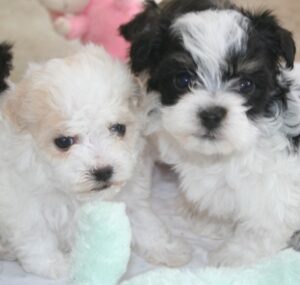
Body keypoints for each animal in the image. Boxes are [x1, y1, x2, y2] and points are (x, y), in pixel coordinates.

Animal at [0, 45, 147, 278]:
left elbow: (146, 222)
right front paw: (60, 267)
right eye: (63, 142)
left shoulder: (128, 195)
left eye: (119, 128)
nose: (102, 171)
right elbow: (38, 242)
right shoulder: (25, 210)